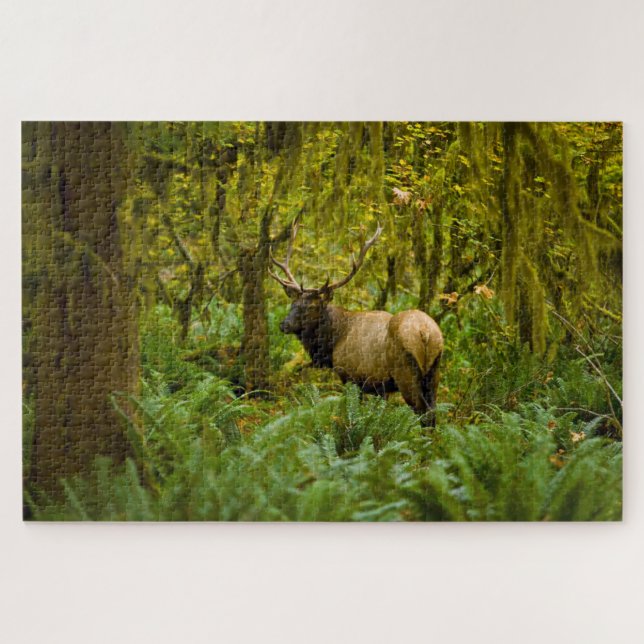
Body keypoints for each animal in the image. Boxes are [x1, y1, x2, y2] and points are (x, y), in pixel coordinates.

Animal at [269, 220, 444, 427]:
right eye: (293, 303)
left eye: (312, 307)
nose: (284, 324)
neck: (334, 341)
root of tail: (426, 333)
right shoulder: (379, 387)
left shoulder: (351, 376)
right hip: (434, 371)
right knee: (433, 412)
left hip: (406, 372)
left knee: (423, 412)